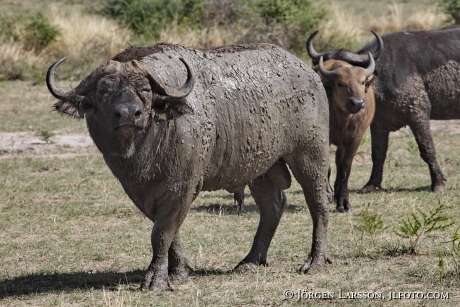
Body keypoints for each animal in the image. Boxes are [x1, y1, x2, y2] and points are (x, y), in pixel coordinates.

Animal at [46, 42, 332, 292]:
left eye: (145, 90)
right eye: (103, 90)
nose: (128, 114)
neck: (146, 149)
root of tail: (309, 74)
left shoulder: (183, 185)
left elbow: (162, 233)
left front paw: (156, 278)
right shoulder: (138, 191)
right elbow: (169, 231)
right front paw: (178, 271)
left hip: (311, 153)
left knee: (318, 202)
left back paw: (315, 260)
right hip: (262, 168)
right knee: (273, 206)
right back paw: (250, 261)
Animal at [308, 27, 460, 194]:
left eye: (345, 65)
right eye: (322, 64)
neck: (384, 75)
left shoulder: (418, 114)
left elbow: (427, 149)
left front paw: (438, 183)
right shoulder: (378, 124)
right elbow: (378, 153)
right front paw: (371, 184)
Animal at [314, 54, 376, 214]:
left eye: (362, 82)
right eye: (340, 84)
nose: (358, 103)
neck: (344, 120)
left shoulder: (355, 139)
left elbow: (345, 168)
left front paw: (343, 202)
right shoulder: (327, 138)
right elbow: (327, 168)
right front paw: (327, 194)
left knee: (339, 162)